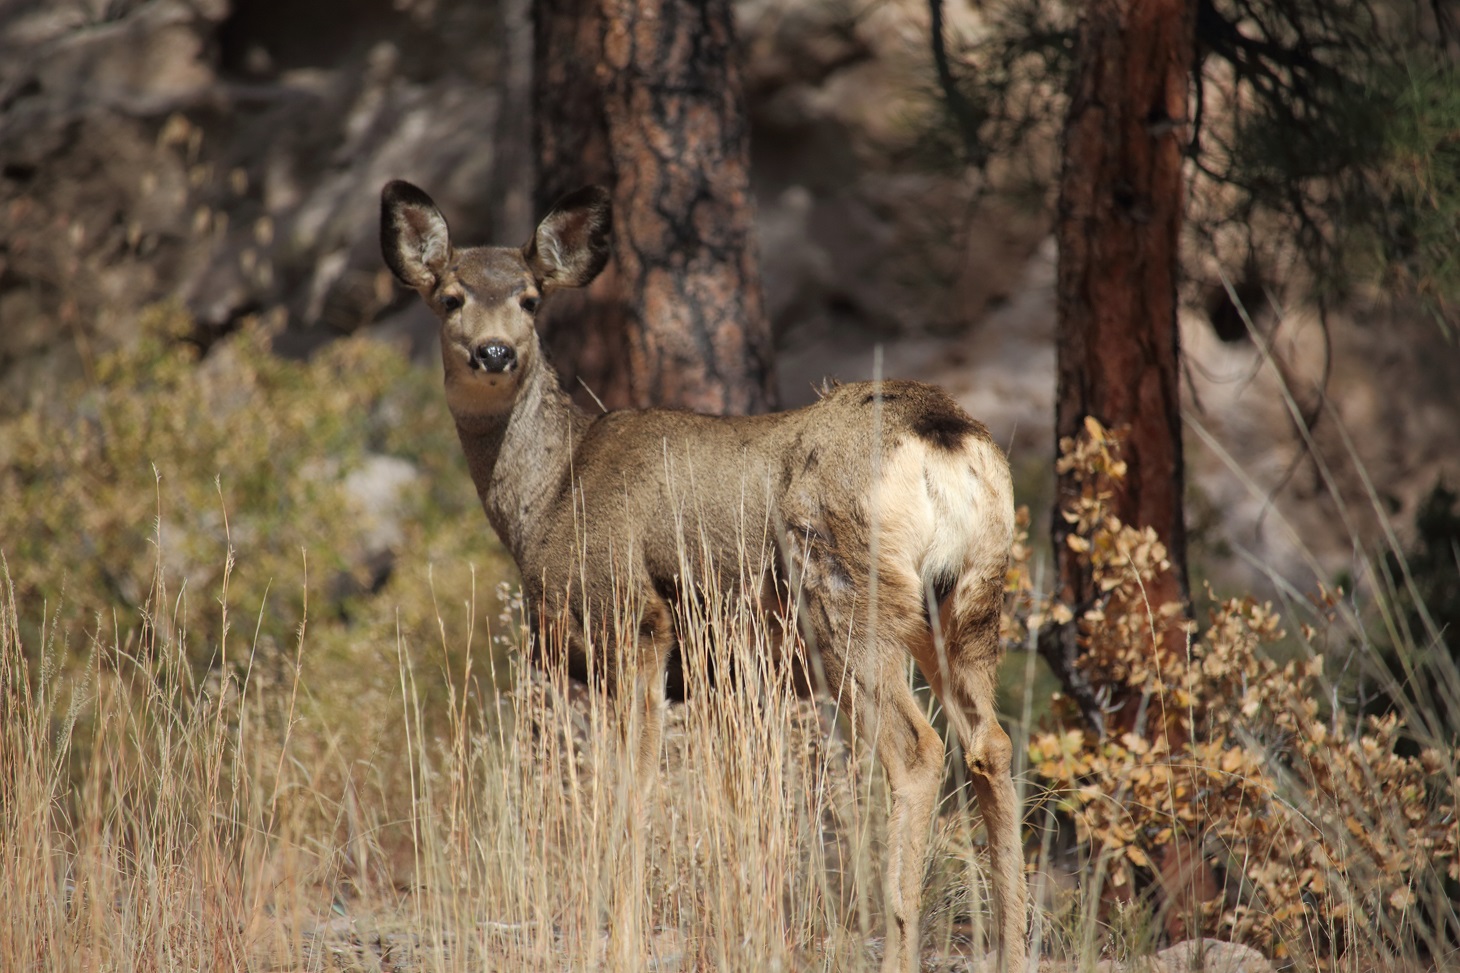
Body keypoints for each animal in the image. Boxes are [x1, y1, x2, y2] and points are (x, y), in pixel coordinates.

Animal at [380, 179, 1028, 973]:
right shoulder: (720, 678)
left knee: (918, 752)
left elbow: (630, 792)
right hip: (969, 602)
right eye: (450, 296)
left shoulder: (633, 620)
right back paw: (1015, 947)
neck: (550, 493)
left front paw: (622, 941)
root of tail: (943, 435)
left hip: (844, 593)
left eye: (530, 299)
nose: (493, 351)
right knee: (991, 746)